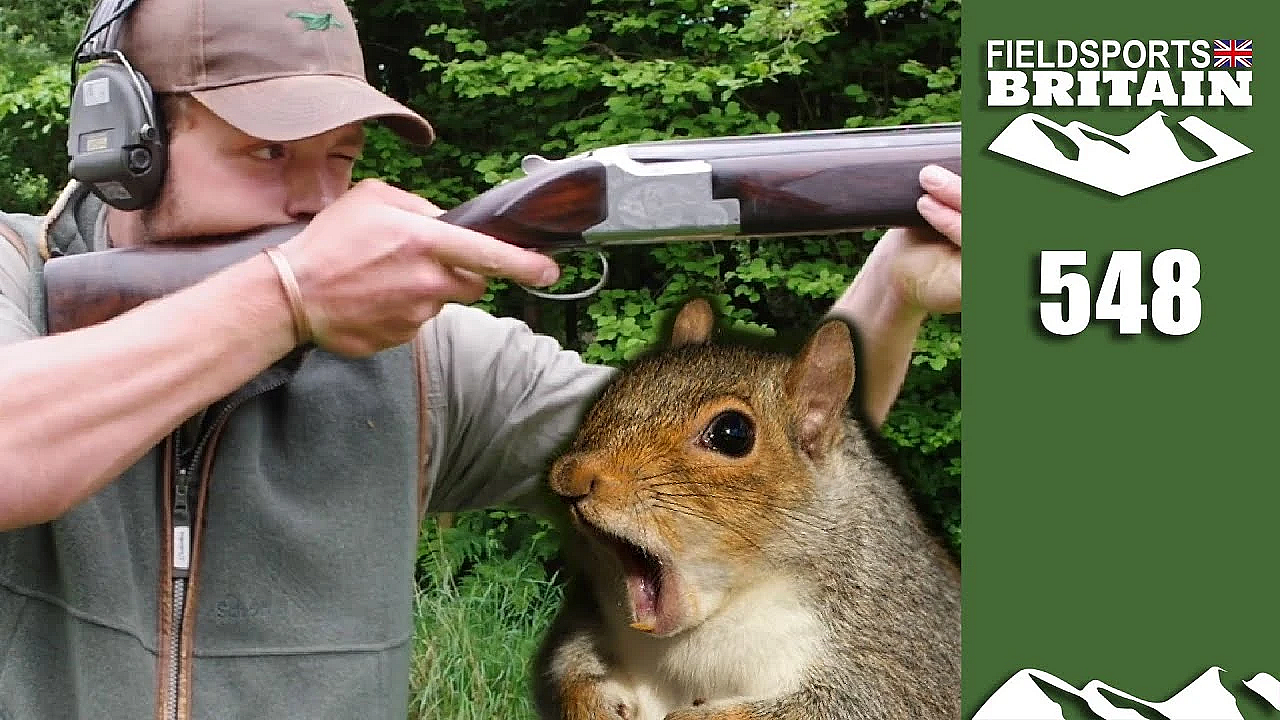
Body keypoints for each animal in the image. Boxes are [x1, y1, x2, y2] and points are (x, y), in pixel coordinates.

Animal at [532, 298, 960, 720]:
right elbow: (574, 664)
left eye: (732, 433)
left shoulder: (896, 650)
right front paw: (593, 703)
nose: (568, 477)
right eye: (609, 392)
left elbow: (859, 703)